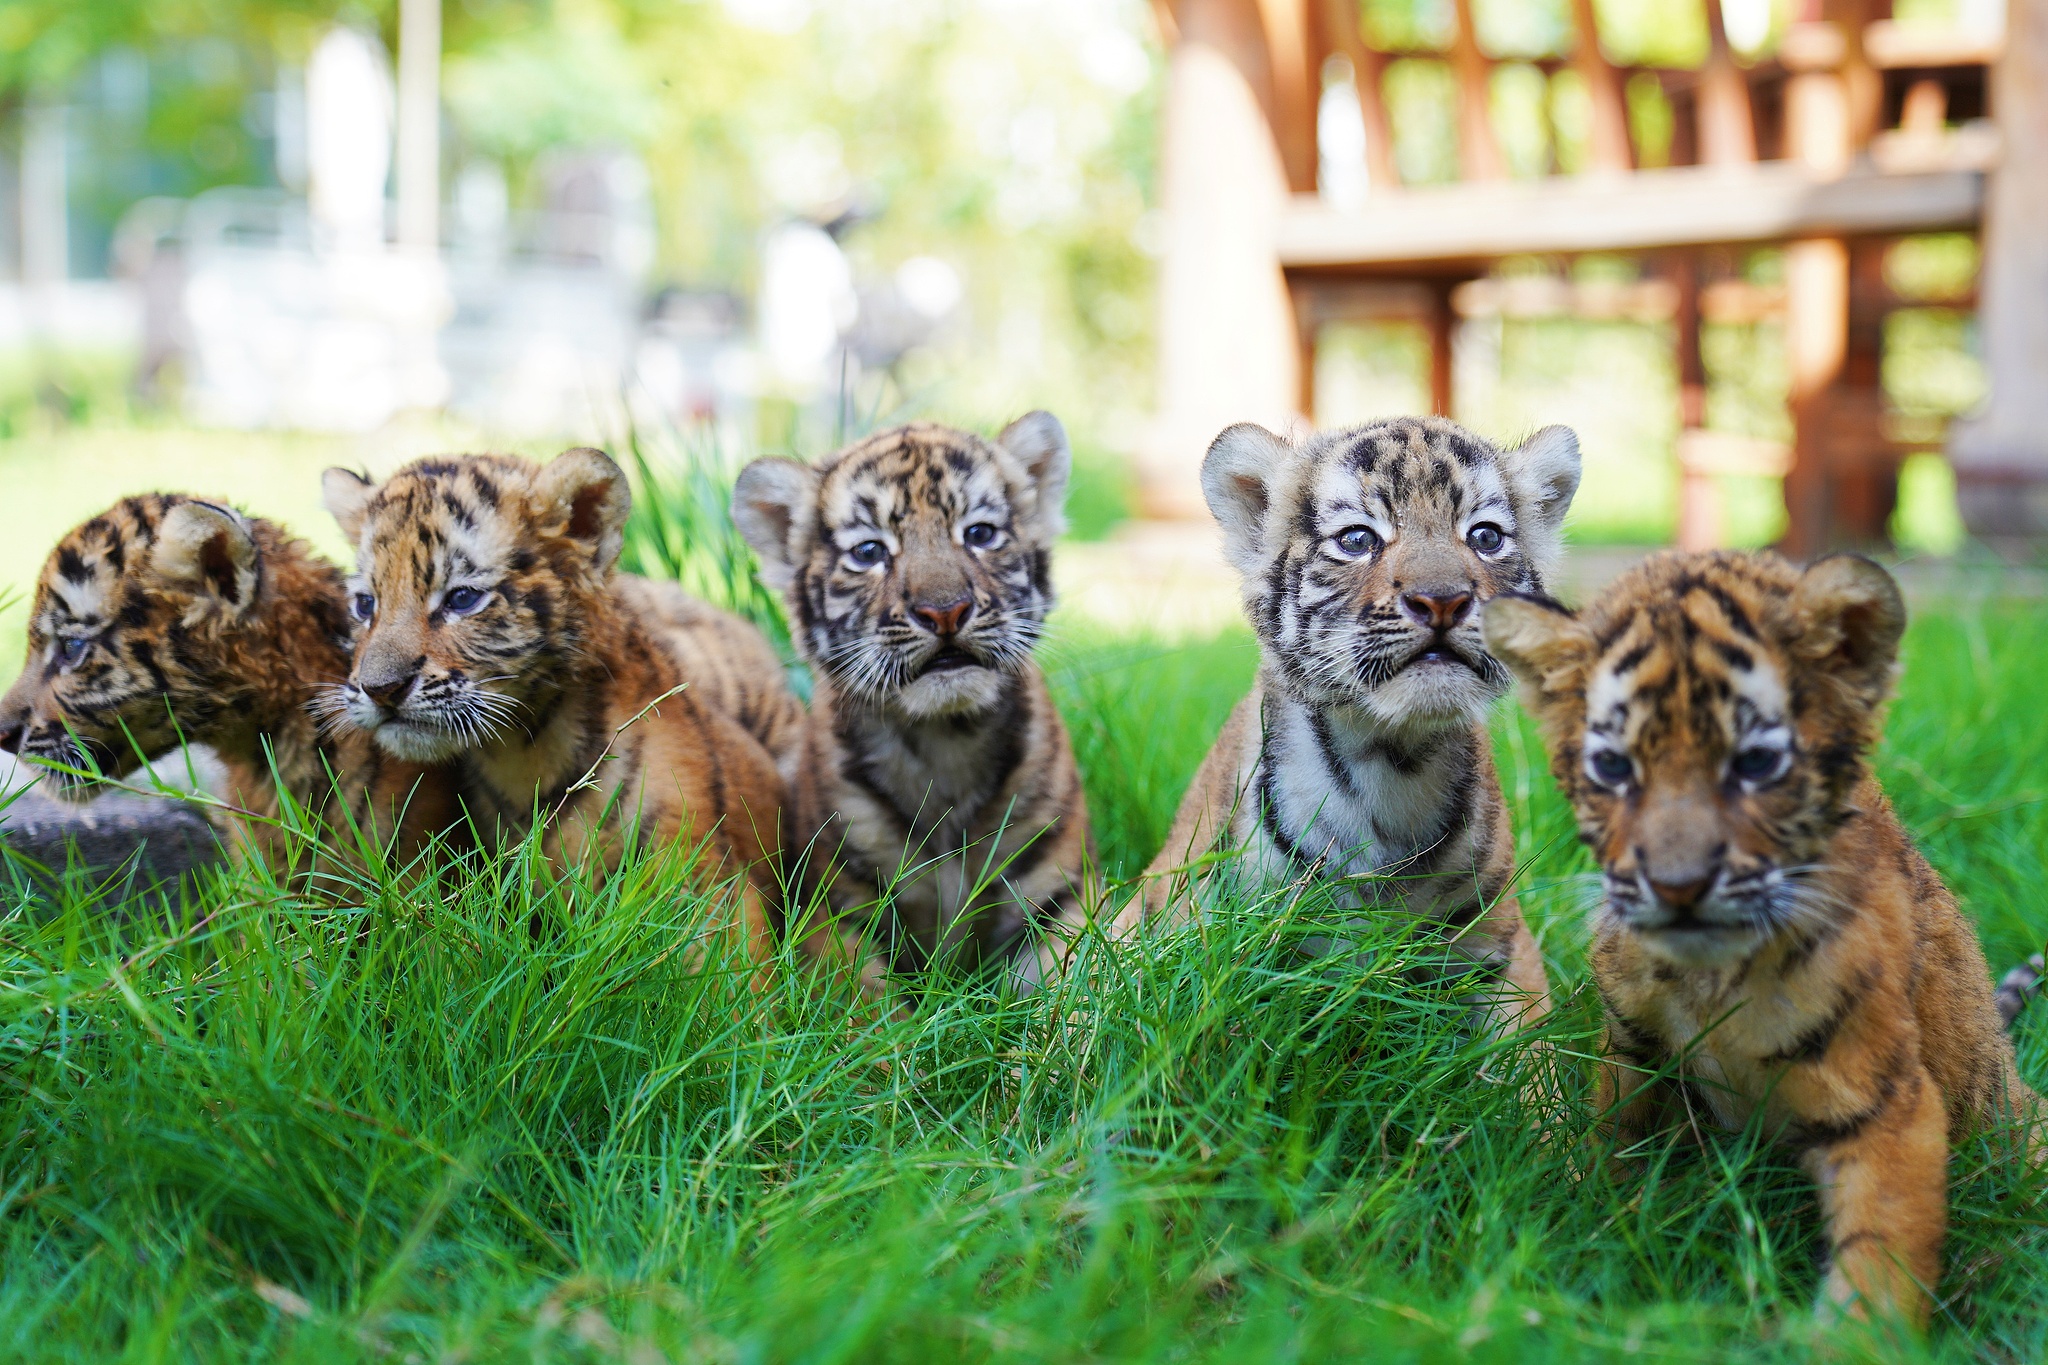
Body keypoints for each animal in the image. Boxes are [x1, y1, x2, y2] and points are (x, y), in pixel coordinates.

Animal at [731, 414, 1091, 988]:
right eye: (869, 552)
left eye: (980, 534)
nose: (945, 610)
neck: (945, 741)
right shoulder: (838, 913)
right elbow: (870, 1002)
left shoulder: (1058, 895)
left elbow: (1073, 989)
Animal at [1119, 416, 1582, 1035]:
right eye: (1358, 540)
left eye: (1486, 537)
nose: (1443, 600)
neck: (1392, 758)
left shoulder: (1503, 940)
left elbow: (1535, 1052)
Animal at [1484, 549, 2043, 1325]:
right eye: (1614, 767)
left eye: (1754, 763)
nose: (1678, 886)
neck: (1709, 974)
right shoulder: (1634, 1050)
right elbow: (1616, 1142)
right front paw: (1594, 1230)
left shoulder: (1888, 1103)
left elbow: (1879, 1251)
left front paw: (1857, 1337)